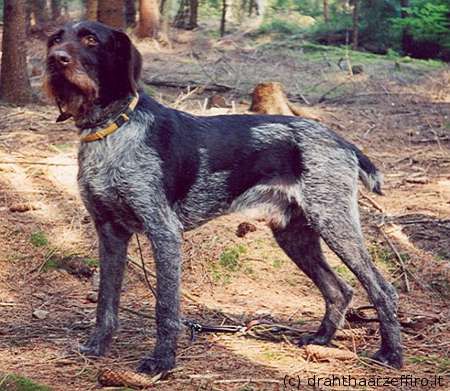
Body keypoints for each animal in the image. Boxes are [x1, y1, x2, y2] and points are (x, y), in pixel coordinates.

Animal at [44, 20, 404, 374]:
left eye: (91, 39)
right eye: (56, 39)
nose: (54, 59)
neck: (111, 131)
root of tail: (343, 143)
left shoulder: (164, 233)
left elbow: (166, 308)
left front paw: (162, 361)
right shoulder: (109, 232)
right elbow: (106, 300)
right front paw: (97, 346)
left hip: (334, 223)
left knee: (382, 289)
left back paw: (390, 354)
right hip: (295, 235)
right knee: (339, 289)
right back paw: (321, 339)